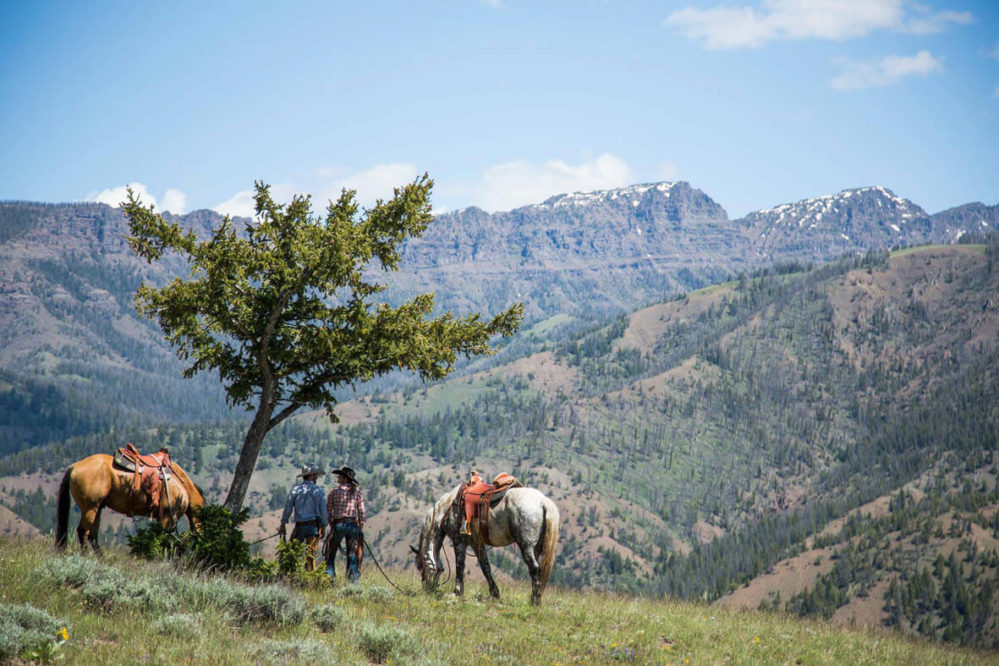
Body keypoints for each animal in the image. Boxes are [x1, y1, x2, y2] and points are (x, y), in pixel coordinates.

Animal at [55, 453, 204, 552]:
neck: (182, 485)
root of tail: (74, 467)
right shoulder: (167, 518)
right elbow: (164, 540)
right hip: (90, 508)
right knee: (82, 531)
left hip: (97, 508)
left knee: (92, 535)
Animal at [411, 484, 559, 605]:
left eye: (420, 566)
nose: (427, 588)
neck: (446, 510)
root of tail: (542, 501)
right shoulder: (478, 545)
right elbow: (485, 567)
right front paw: (494, 593)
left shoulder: (459, 542)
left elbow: (459, 566)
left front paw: (457, 592)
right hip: (537, 548)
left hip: (526, 546)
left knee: (534, 569)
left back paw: (535, 601)